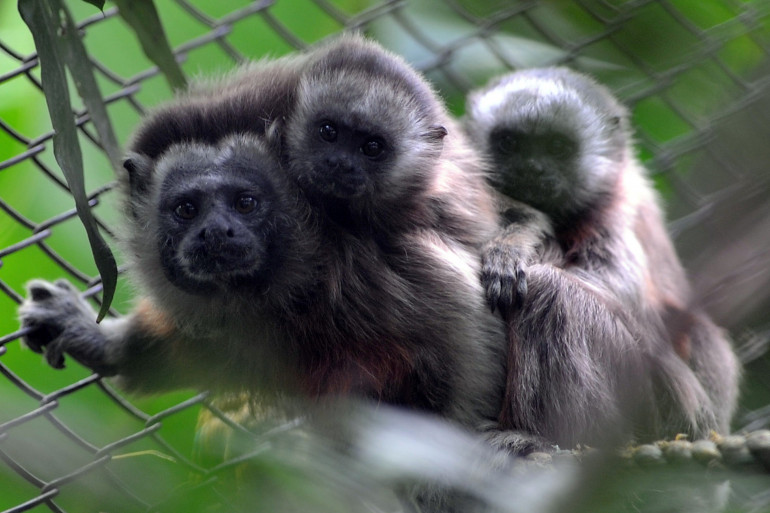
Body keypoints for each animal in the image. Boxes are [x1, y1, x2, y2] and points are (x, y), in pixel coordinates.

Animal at [462, 67, 736, 444]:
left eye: (557, 147)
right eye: (509, 143)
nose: (531, 170)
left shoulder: (616, 207)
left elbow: (622, 292)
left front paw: (512, 246)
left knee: (552, 292)